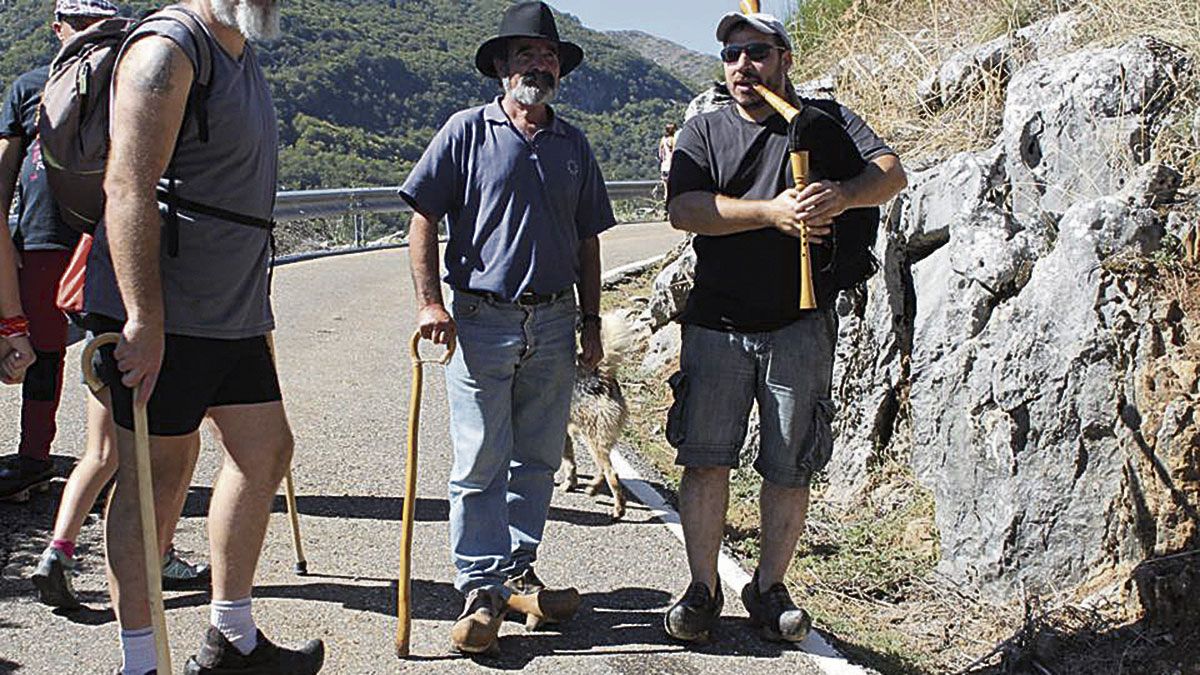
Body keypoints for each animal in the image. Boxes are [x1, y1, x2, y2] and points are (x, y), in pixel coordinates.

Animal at [559, 307, 638, 516]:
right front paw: (570, 484)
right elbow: (569, 462)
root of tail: (600, 379)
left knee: (611, 473)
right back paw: (592, 489)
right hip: (599, 440)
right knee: (604, 469)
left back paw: (618, 509)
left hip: (592, 439)